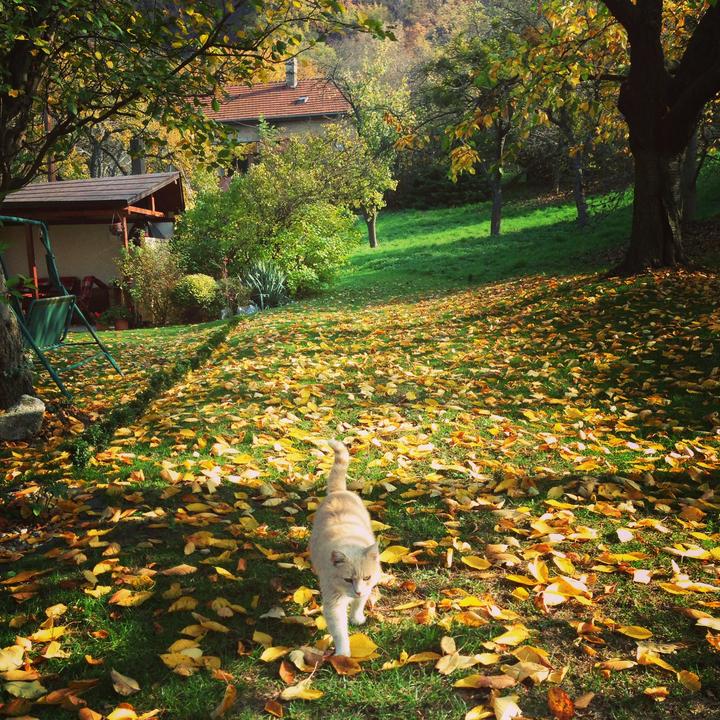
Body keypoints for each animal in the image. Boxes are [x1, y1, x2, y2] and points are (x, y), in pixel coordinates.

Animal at [309, 439, 381, 657]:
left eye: (366, 577)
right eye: (347, 579)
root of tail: (338, 491)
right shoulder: (333, 604)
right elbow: (340, 631)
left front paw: (357, 618)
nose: (356, 591)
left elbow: (359, 604)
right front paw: (342, 654)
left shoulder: (368, 586)